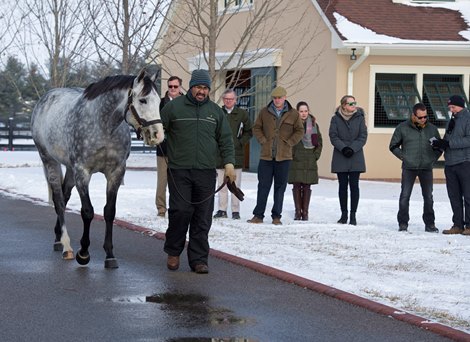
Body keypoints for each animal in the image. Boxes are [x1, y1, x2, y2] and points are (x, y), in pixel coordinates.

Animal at [31, 70, 163, 268]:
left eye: (159, 101)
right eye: (143, 100)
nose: (158, 135)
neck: (103, 125)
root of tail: (45, 99)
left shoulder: (116, 173)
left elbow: (109, 212)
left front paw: (109, 255)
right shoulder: (83, 172)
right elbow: (87, 212)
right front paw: (83, 253)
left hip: (69, 168)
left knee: (65, 196)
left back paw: (58, 238)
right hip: (50, 161)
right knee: (59, 201)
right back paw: (66, 246)